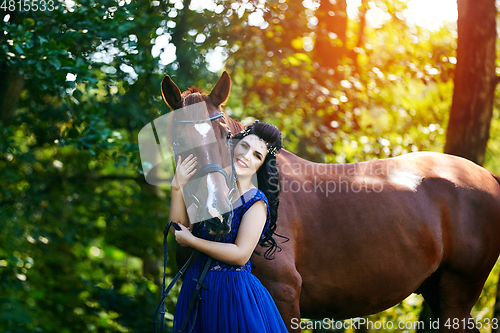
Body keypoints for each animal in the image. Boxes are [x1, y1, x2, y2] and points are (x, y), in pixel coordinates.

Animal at [163, 71, 500, 330]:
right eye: (177, 141)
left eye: (224, 135)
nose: (217, 214)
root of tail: (487, 175)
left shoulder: (284, 296)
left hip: (456, 296)